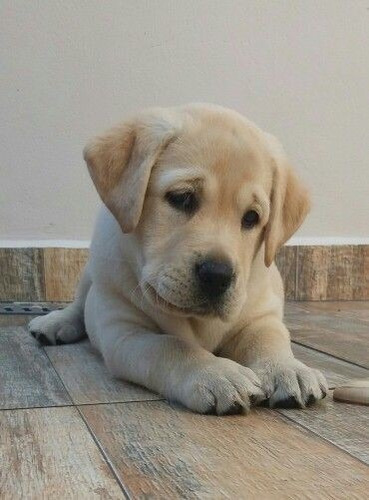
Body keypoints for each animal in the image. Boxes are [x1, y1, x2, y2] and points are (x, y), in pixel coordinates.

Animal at [30, 104, 326, 414]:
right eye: (182, 198)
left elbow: (268, 339)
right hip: (91, 275)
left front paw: (287, 369)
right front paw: (218, 373)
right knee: (80, 304)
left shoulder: (261, 314)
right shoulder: (123, 331)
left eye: (252, 218)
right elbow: (171, 347)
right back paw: (54, 323)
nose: (218, 275)